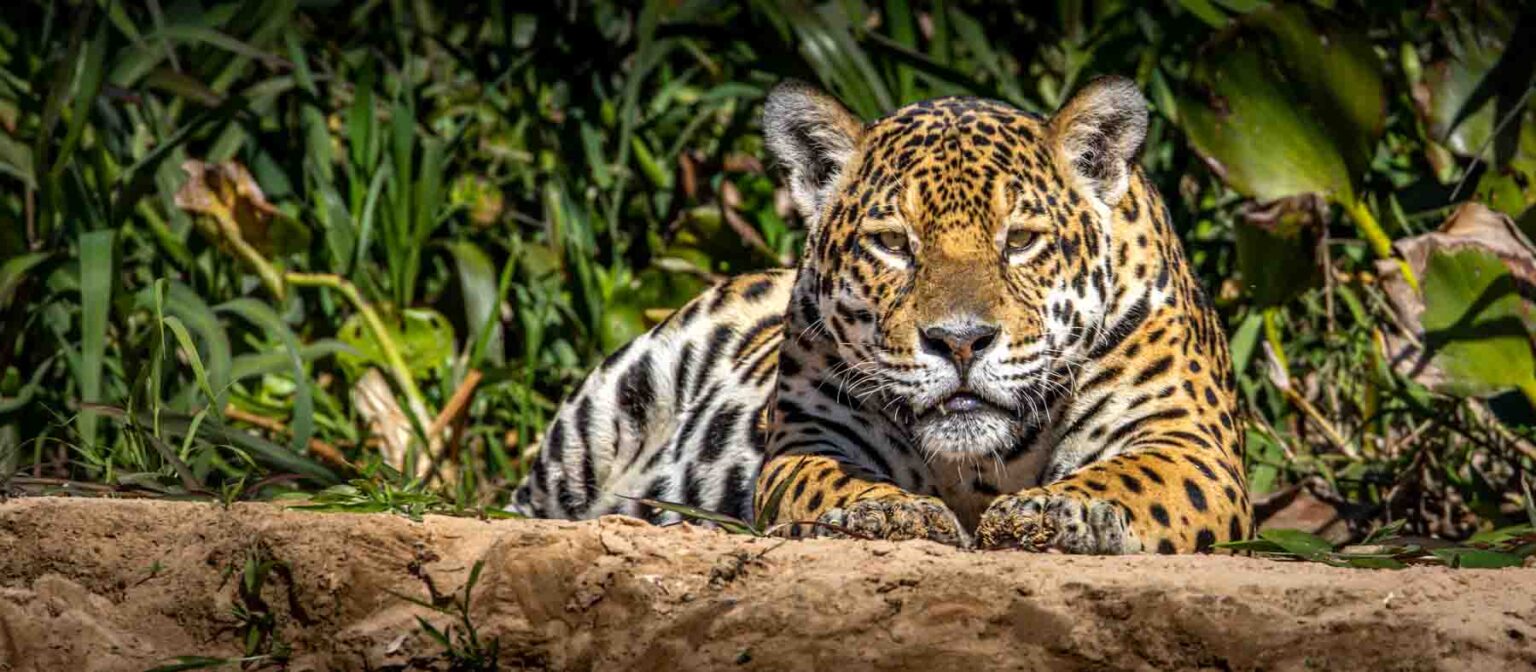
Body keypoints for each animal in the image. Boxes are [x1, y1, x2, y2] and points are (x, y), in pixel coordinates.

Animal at [510, 76, 1251, 554]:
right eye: (894, 243)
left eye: (1021, 240)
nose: (961, 342)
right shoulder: (808, 439)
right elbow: (830, 483)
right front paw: (889, 517)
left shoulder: (1187, 441)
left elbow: (1131, 476)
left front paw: (1055, 510)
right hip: (610, 406)